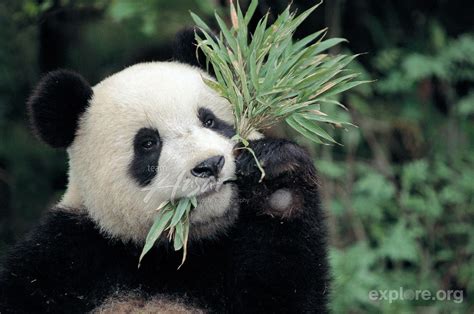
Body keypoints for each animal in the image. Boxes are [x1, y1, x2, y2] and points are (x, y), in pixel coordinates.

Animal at [0, 30, 330, 312]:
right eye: (148, 143)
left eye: (209, 120)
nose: (210, 165)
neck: (166, 253)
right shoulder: (65, 256)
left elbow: (282, 290)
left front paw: (277, 184)